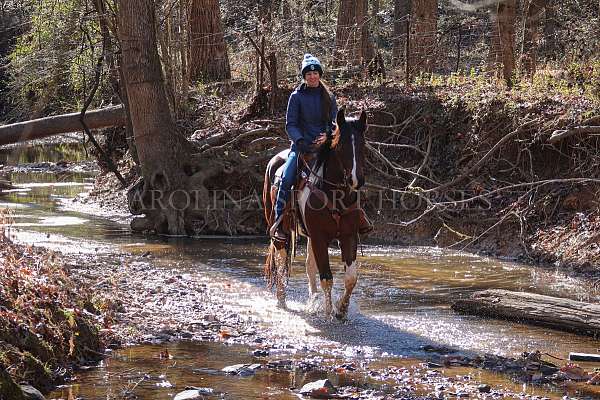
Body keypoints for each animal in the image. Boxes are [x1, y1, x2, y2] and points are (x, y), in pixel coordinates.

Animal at [262, 108, 366, 320]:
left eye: (362, 144)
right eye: (341, 144)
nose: (356, 179)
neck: (334, 194)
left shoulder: (348, 235)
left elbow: (351, 277)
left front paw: (341, 310)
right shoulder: (319, 236)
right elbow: (326, 277)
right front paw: (328, 313)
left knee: (309, 265)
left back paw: (313, 300)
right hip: (281, 231)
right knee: (281, 259)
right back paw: (281, 299)